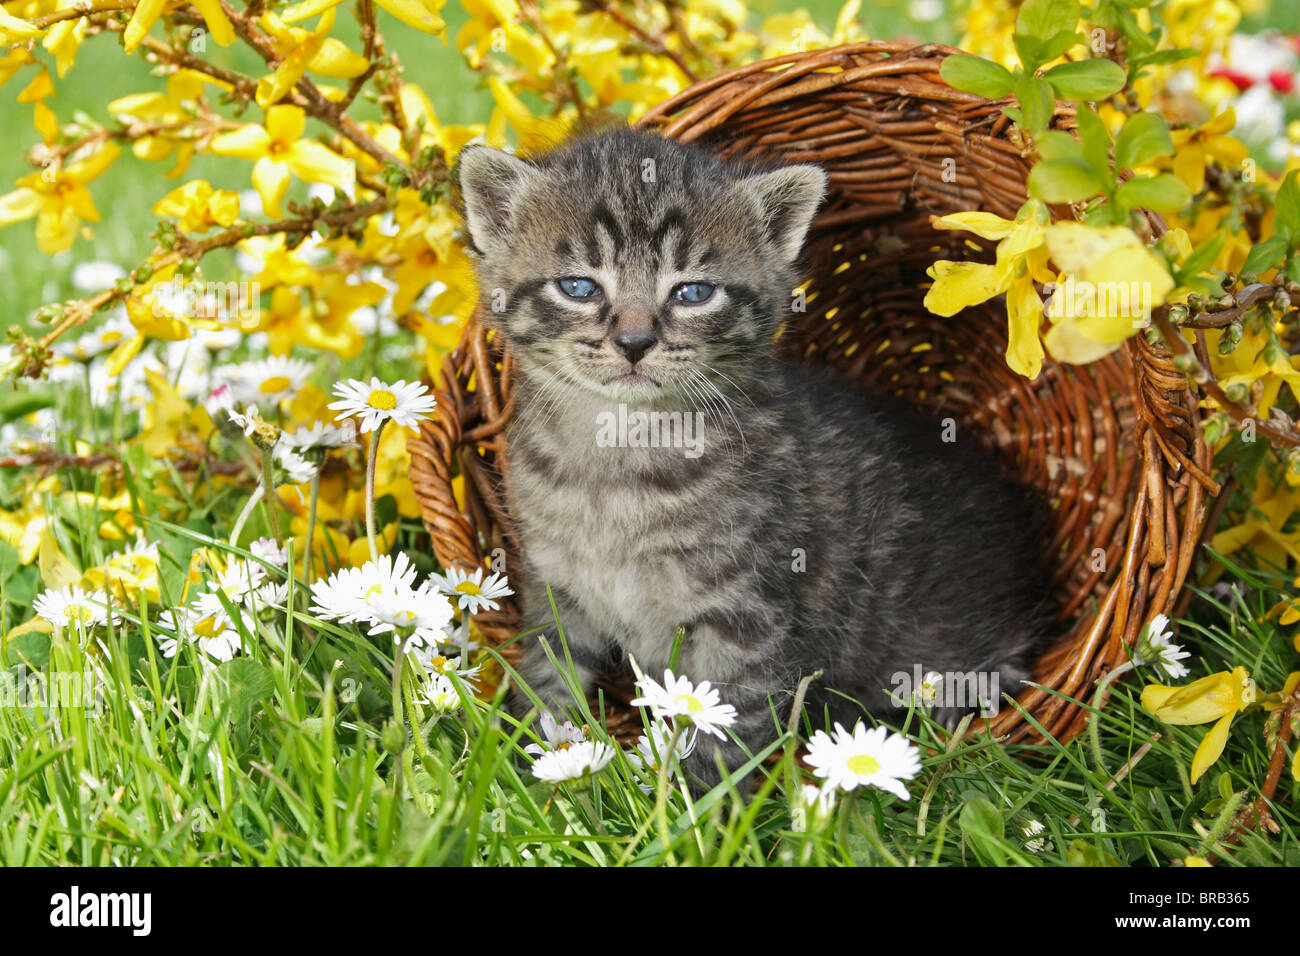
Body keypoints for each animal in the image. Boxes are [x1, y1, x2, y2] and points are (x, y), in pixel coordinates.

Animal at [452, 123, 1050, 790]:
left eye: (693, 293)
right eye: (578, 287)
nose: (634, 341)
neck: (617, 459)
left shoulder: (746, 613)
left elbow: (725, 723)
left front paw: (704, 803)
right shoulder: (555, 588)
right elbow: (549, 680)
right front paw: (533, 765)